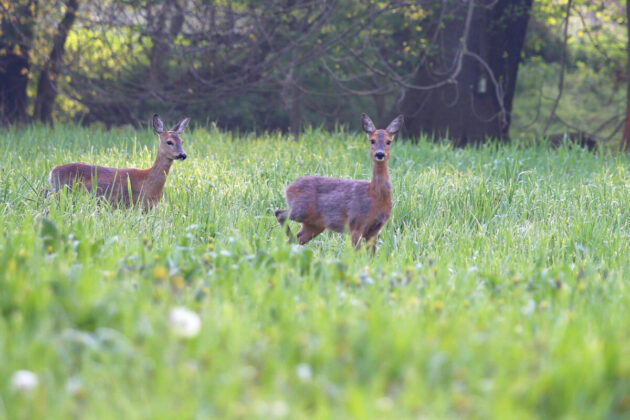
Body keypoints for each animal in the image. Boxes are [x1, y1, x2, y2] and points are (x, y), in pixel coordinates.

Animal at [48, 114, 190, 209]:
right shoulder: (133, 205)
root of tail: (53, 170)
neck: (149, 183)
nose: (183, 155)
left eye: (182, 141)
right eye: (169, 142)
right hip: (61, 191)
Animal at [276, 112, 404, 249]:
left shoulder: (375, 230)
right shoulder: (355, 223)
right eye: (372, 141)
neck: (375, 195)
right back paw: (289, 238)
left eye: (389, 141)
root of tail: (288, 188)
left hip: (314, 224)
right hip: (300, 208)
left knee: (298, 237)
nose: (380, 154)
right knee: (279, 213)